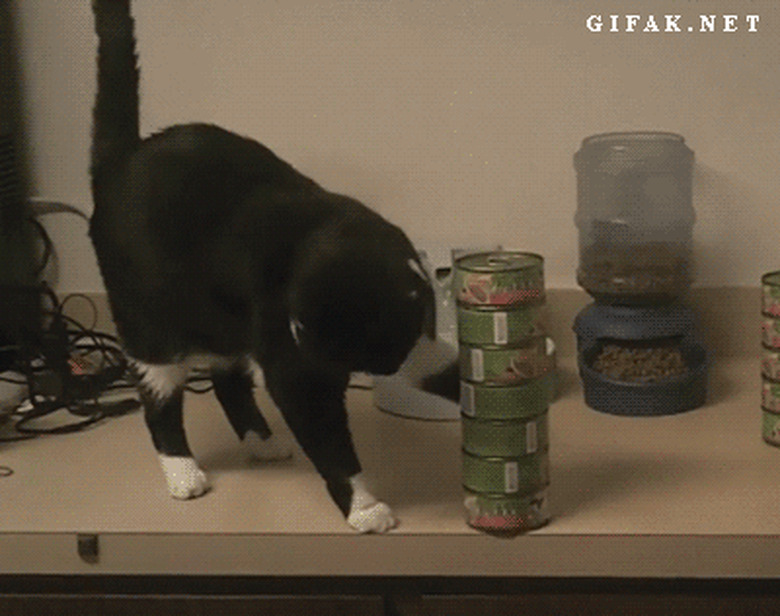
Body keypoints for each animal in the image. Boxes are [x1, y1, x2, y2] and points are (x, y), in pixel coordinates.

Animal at [90, 0, 436, 532]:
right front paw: (363, 505)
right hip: (151, 325)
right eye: (303, 335)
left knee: (228, 380)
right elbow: (328, 438)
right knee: (159, 398)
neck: (329, 230)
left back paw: (263, 441)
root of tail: (120, 162)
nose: (330, 365)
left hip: (225, 321)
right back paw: (183, 473)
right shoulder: (293, 368)